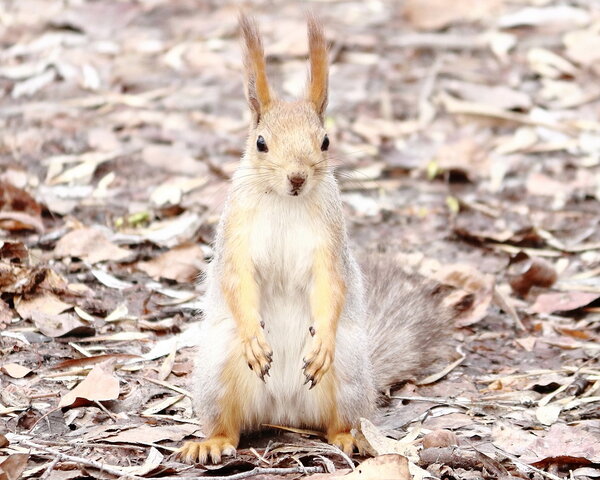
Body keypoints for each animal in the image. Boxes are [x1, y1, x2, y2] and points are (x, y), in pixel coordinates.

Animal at [178, 15, 460, 464]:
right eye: (260, 143)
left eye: (325, 141)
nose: (297, 177)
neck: (285, 201)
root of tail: (284, 411)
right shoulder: (236, 236)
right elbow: (237, 279)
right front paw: (254, 338)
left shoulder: (330, 242)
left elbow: (331, 283)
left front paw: (320, 342)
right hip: (219, 371)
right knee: (229, 426)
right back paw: (211, 442)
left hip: (347, 374)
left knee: (337, 421)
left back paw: (349, 437)